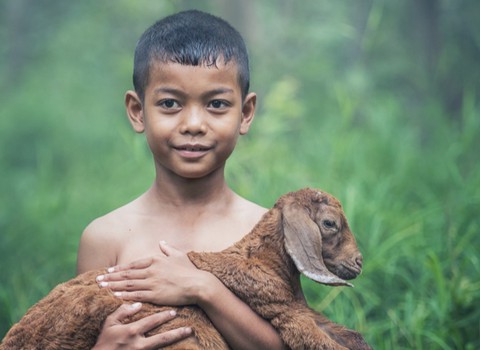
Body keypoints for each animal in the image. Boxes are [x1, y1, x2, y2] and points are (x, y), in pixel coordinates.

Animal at [0, 190, 372, 348]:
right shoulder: (283, 312)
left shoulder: (300, 309)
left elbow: (352, 336)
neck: (264, 261)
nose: (358, 262)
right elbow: (322, 342)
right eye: (330, 224)